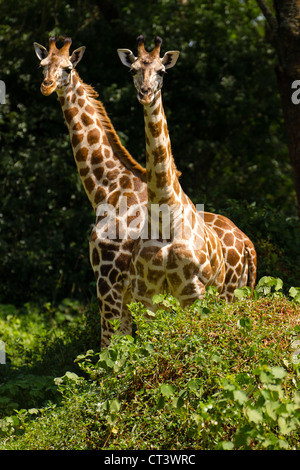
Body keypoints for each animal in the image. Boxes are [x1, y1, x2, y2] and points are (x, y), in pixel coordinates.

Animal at [33, 36, 148, 346]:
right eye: (42, 65)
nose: (47, 86)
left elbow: (109, 344)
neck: (108, 188)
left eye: (69, 68)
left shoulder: (107, 278)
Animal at [118, 35, 258, 304]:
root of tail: (247, 242)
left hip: (230, 293)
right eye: (132, 70)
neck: (164, 216)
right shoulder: (146, 292)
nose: (145, 93)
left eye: (162, 71)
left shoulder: (193, 291)